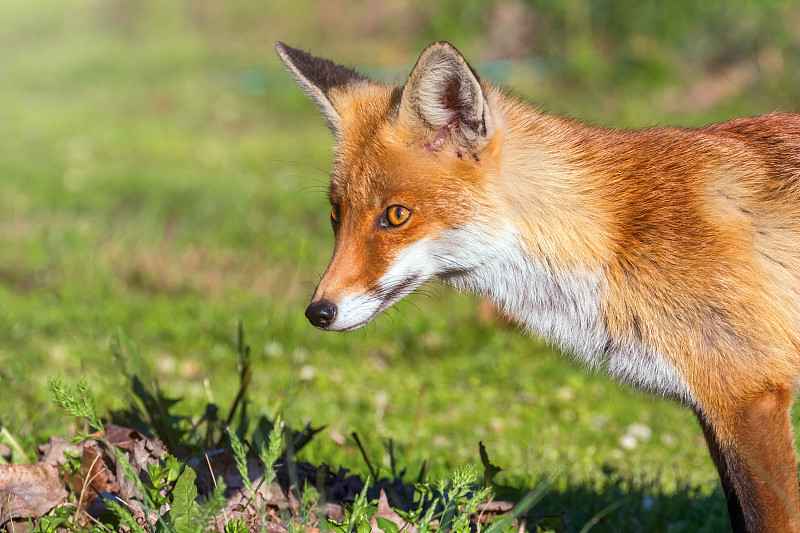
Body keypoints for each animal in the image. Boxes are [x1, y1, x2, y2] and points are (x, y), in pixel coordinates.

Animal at [276, 41, 800, 532]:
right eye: (336, 215)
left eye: (397, 215)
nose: (318, 311)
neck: (612, 235)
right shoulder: (717, 409)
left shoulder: (748, 397)